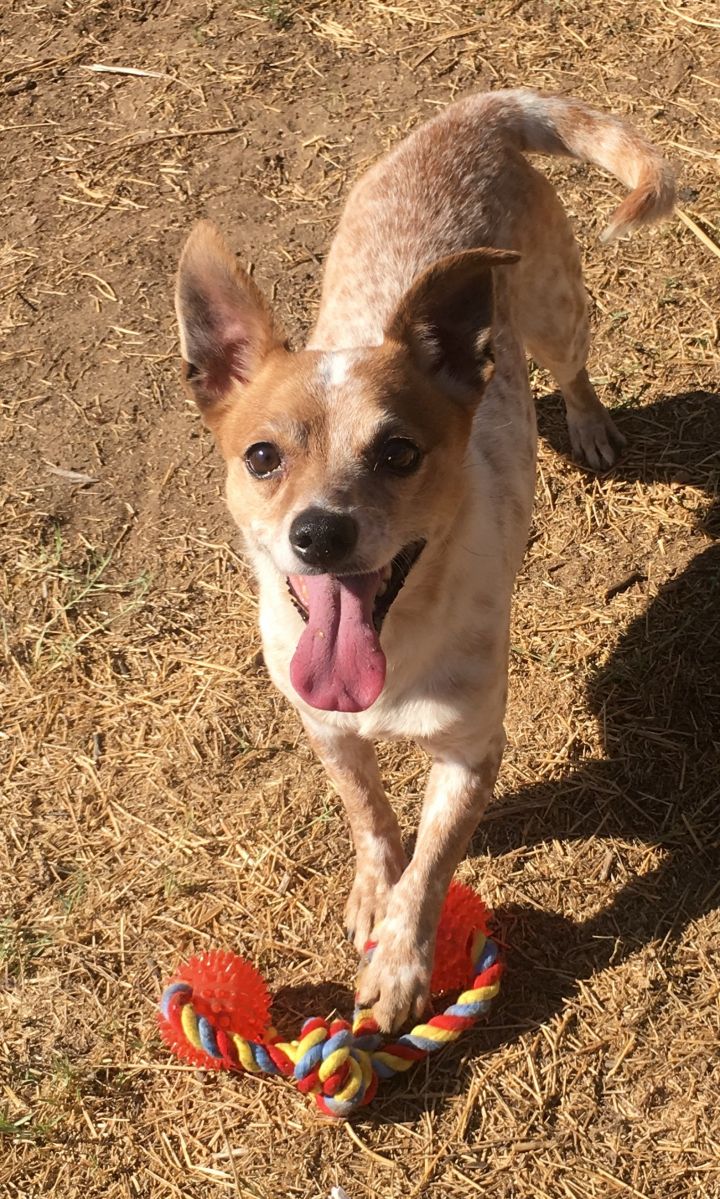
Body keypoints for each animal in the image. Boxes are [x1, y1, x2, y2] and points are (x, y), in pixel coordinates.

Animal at [173, 91, 675, 1031]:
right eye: (261, 457)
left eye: (399, 453)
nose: (320, 533)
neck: (394, 646)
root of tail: (477, 115)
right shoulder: (326, 727)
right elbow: (369, 813)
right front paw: (375, 888)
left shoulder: (473, 750)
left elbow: (435, 860)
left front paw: (402, 962)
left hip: (555, 309)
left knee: (575, 367)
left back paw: (590, 425)